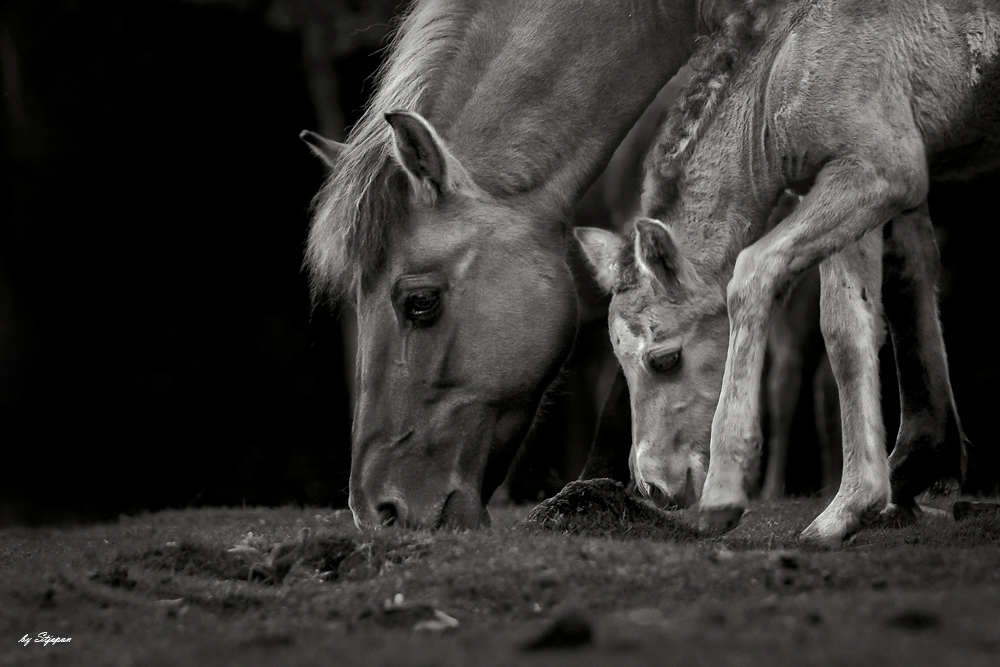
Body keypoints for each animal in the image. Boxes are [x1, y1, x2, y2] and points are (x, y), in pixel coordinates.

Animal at [576, 0, 988, 544]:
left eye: (665, 359)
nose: (653, 487)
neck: (785, 67)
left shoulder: (883, 168)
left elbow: (754, 273)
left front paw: (728, 497)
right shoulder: (857, 179)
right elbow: (854, 322)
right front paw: (868, 497)